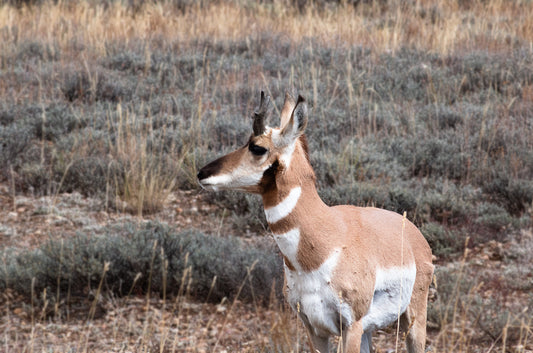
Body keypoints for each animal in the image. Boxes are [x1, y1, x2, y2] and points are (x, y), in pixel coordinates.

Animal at [195, 91, 432, 352]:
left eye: (257, 147)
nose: (202, 173)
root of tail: (412, 231)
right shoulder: (313, 327)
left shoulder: (352, 325)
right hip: (370, 330)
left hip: (413, 317)